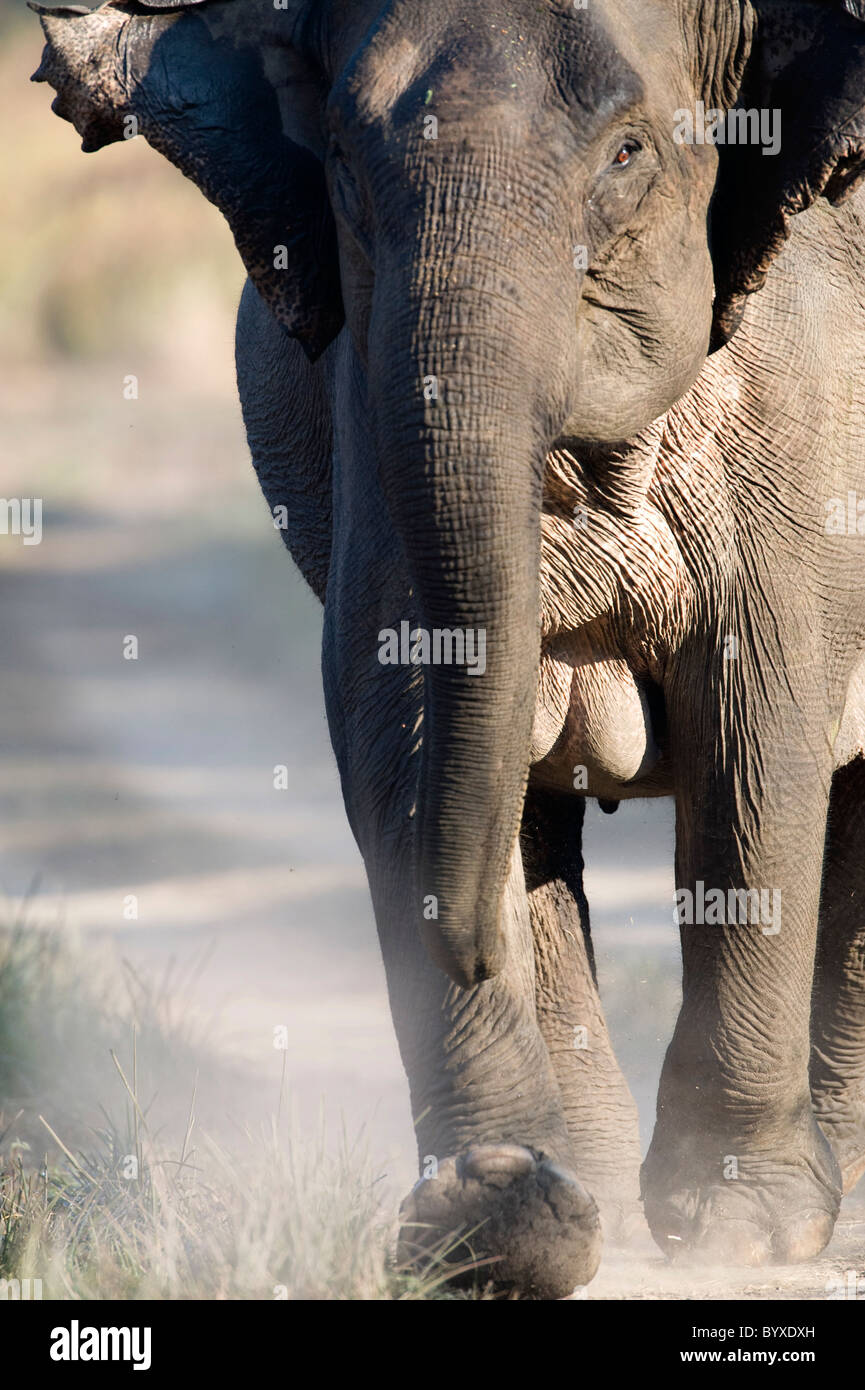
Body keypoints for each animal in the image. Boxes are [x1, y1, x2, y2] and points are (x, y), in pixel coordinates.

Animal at [35, 0, 865, 1301]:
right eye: (337, 163)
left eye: (627, 153)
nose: (468, 950)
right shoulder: (362, 383)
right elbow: (399, 715)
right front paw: (492, 1220)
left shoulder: (806, 395)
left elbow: (758, 732)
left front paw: (741, 1228)